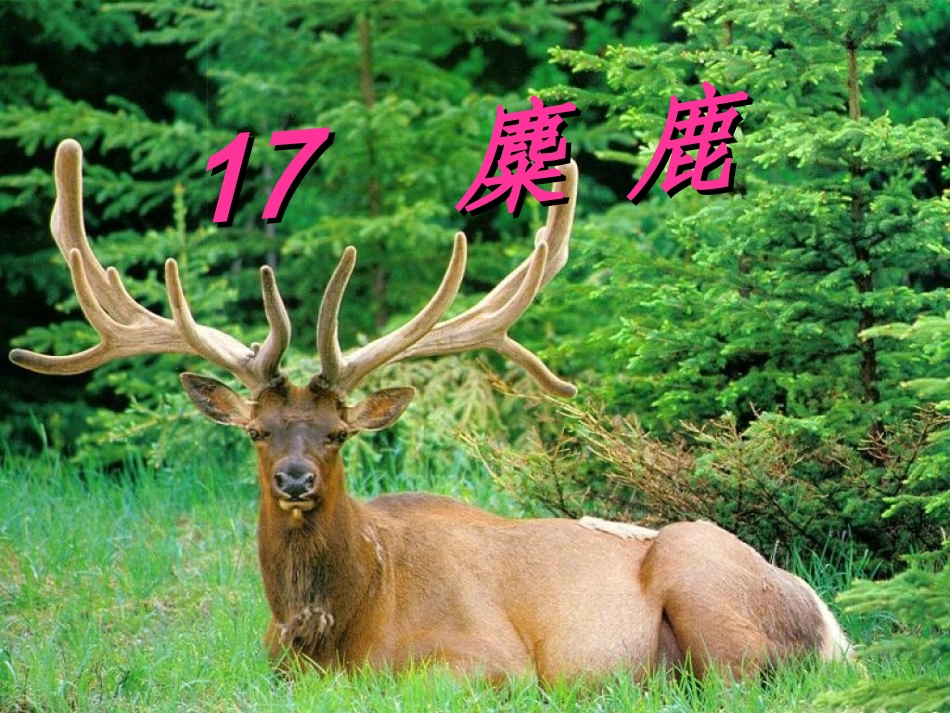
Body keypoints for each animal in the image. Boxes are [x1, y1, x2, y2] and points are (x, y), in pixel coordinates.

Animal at [10, 139, 851, 685]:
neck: (336, 631)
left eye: (338, 434)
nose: (293, 478)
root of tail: (832, 626)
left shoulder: (488, 660)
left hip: (704, 583)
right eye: (256, 430)